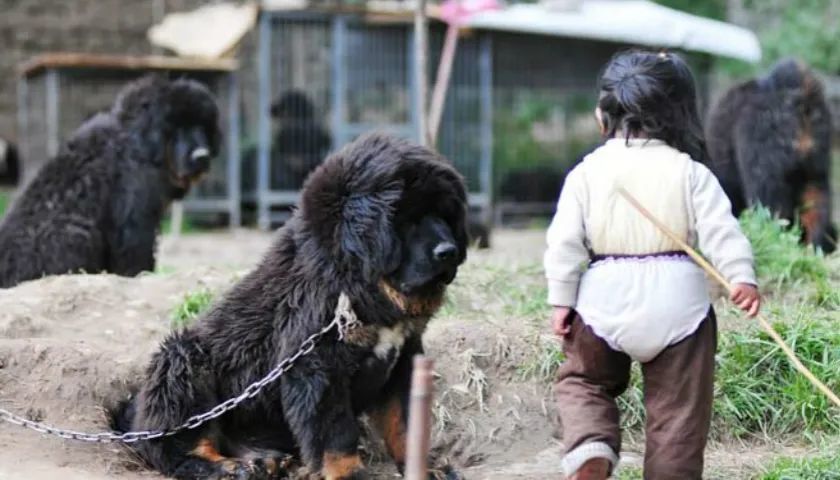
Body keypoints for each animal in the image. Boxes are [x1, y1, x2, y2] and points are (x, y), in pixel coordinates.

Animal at [0, 75, 221, 288]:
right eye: (177, 128)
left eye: (203, 127)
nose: (202, 156)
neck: (141, 145)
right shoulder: (134, 217)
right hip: (78, 234)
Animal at [112, 133, 470, 480]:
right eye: (409, 219)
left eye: (446, 216)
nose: (449, 251)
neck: (355, 281)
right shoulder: (318, 362)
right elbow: (336, 432)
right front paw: (348, 473)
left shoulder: (404, 358)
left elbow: (406, 423)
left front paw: (425, 468)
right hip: (182, 360)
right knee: (180, 450)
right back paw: (233, 468)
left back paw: (265, 461)